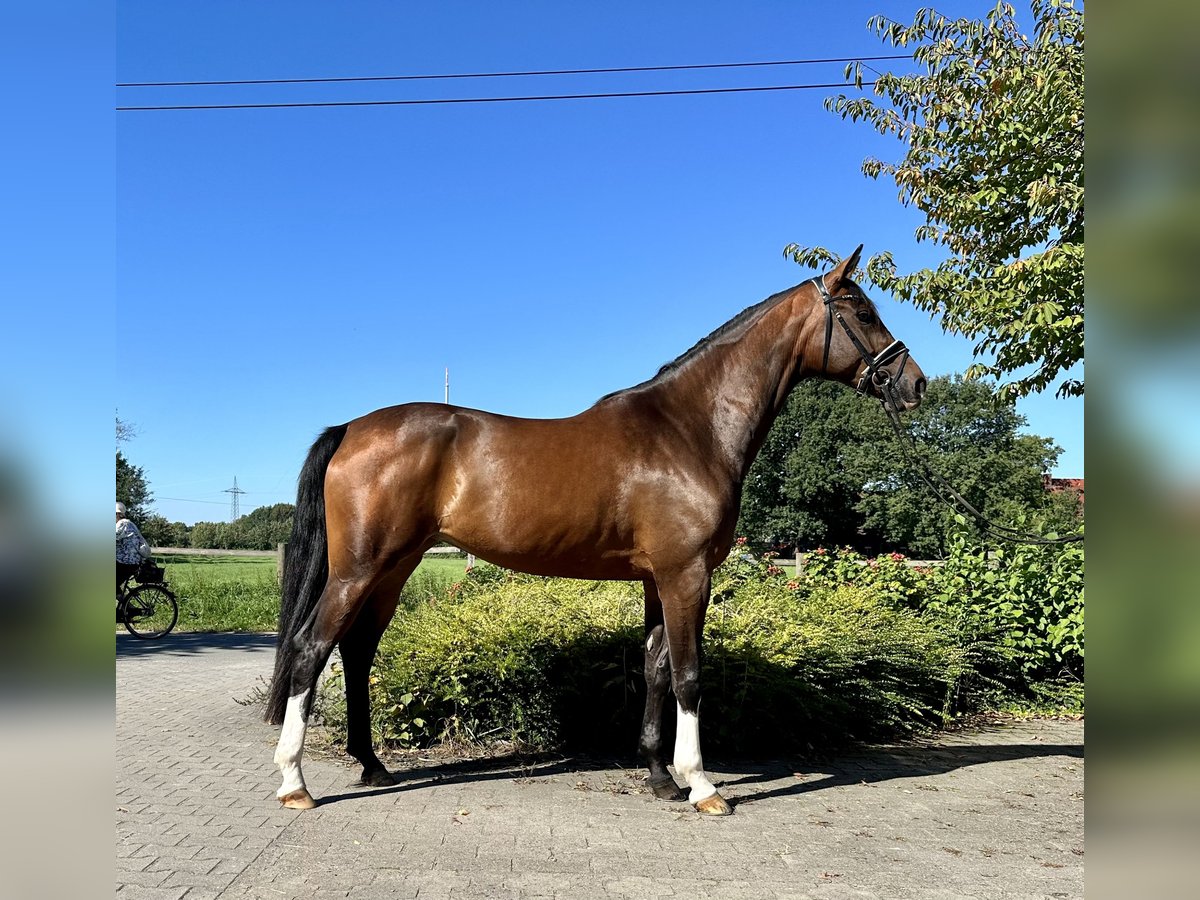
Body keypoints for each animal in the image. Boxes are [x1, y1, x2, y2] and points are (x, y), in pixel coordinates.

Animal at [267, 247, 921, 816]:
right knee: (310, 648)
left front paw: (661, 776)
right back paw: (295, 782)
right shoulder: (687, 574)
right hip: (358, 569)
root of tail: (352, 428)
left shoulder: (659, 578)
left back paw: (372, 764)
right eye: (864, 312)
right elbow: (689, 674)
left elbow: (656, 666)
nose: (912, 383)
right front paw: (703, 786)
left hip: (392, 568)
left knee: (356, 651)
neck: (690, 429)